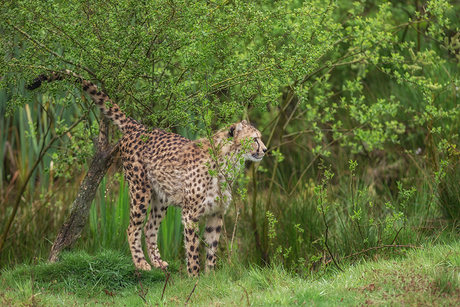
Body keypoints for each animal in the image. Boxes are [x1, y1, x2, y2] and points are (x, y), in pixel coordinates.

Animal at [27, 70, 266, 276]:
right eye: (254, 139)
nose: (265, 149)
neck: (228, 163)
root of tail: (140, 127)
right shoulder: (190, 215)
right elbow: (193, 249)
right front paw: (194, 277)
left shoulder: (216, 213)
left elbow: (212, 249)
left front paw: (210, 277)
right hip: (139, 190)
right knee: (132, 228)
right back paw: (141, 264)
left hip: (161, 197)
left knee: (150, 227)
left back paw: (158, 262)